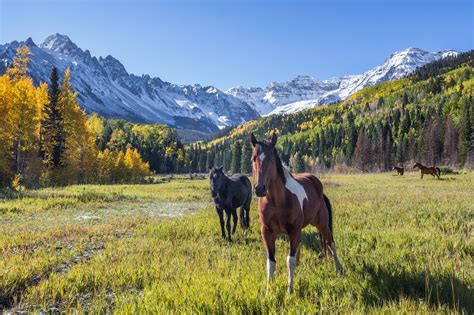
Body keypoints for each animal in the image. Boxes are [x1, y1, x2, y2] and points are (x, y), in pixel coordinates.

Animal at [250, 132, 342, 296]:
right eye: (254, 158)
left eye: (270, 158)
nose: (259, 189)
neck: (278, 201)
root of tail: (317, 185)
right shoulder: (267, 232)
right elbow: (271, 262)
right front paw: (268, 291)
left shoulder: (293, 231)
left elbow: (289, 260)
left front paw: (289, 290)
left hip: (322, 225)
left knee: (331, 243)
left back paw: (339, 268)